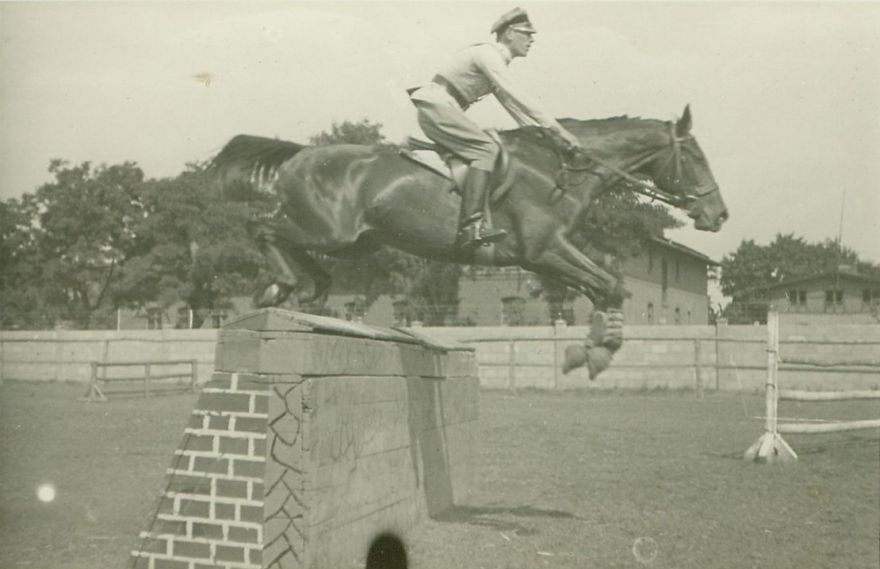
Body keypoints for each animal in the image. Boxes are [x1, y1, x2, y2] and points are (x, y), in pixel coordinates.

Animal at [212, 105, 728, 378]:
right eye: (696, 158)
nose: (718, 215)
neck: (558, 170)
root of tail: (300, 155)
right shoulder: (544, 250)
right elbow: (609, 285)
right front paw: (592, 353)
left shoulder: (545, 258)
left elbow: (607, 287)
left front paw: (594, 347)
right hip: (331, 230)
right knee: (262, 227)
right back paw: (280, 286)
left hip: (357, 241)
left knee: (300, 249)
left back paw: (302, 288)